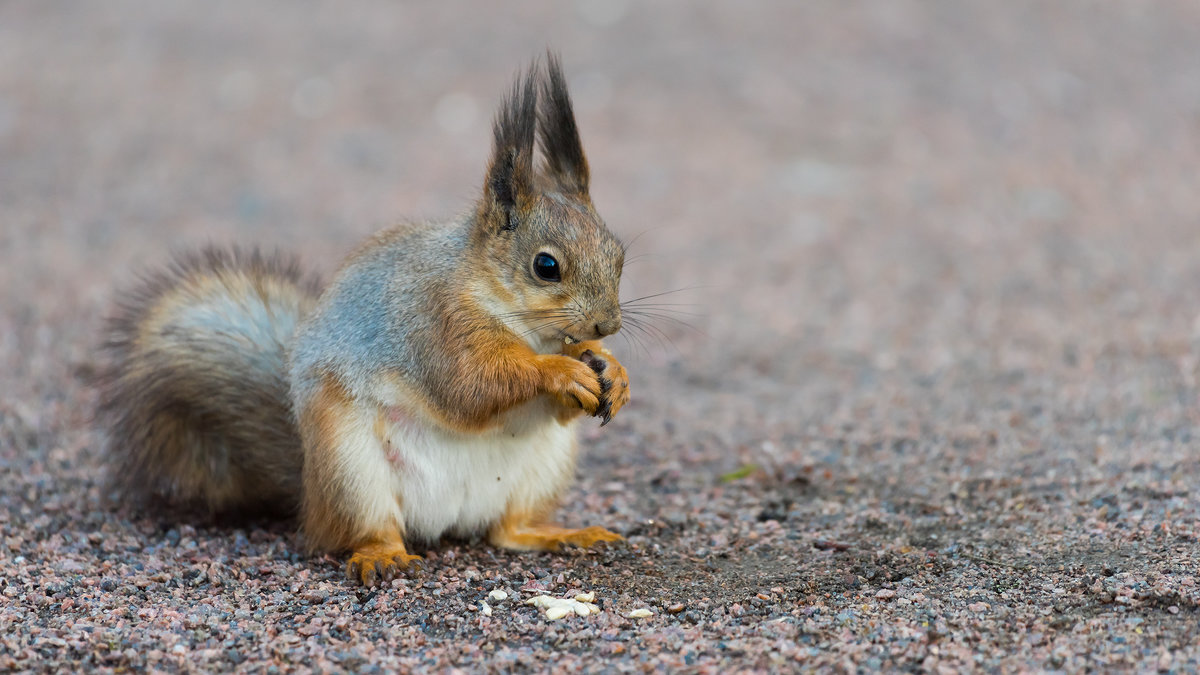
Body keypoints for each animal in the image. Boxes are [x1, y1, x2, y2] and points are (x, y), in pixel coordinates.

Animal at [96, 55, 628, 583]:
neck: (524, 324)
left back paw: (563, 534)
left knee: (508, 529)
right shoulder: (433, 324)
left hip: (545, 465)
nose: (607, 326)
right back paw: (382, 555)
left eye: (619, 254)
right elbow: (471, 385)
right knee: (367, 529)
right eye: (546, 266)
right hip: (349, 468)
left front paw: (611, 370)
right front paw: (559, 371)